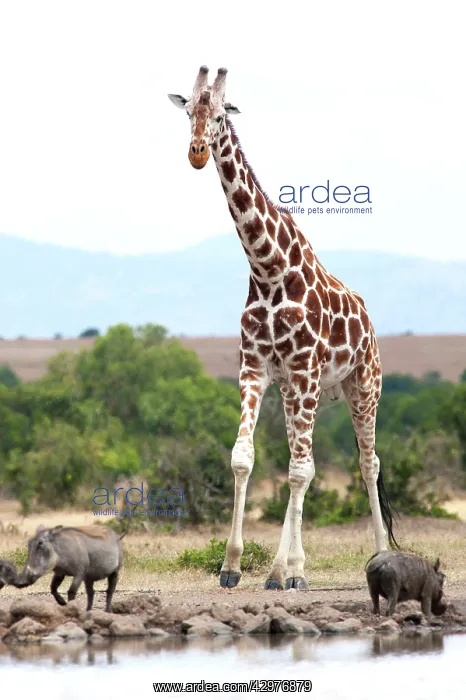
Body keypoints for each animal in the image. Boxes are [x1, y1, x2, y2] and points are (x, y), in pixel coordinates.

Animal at [168, 66, 397, 591]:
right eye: (188, 112)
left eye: (221, 115)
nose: (197, 152)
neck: (269, 269)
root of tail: (370, 322)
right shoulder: (255, 368)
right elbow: (244, 458)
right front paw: (234, 567)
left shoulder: (304, 372)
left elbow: (298, 472)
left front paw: (282, 571)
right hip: (299, 391)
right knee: (308, 459)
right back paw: (292, 567)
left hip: (363, 386)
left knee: (365, 462)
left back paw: (376, 555)